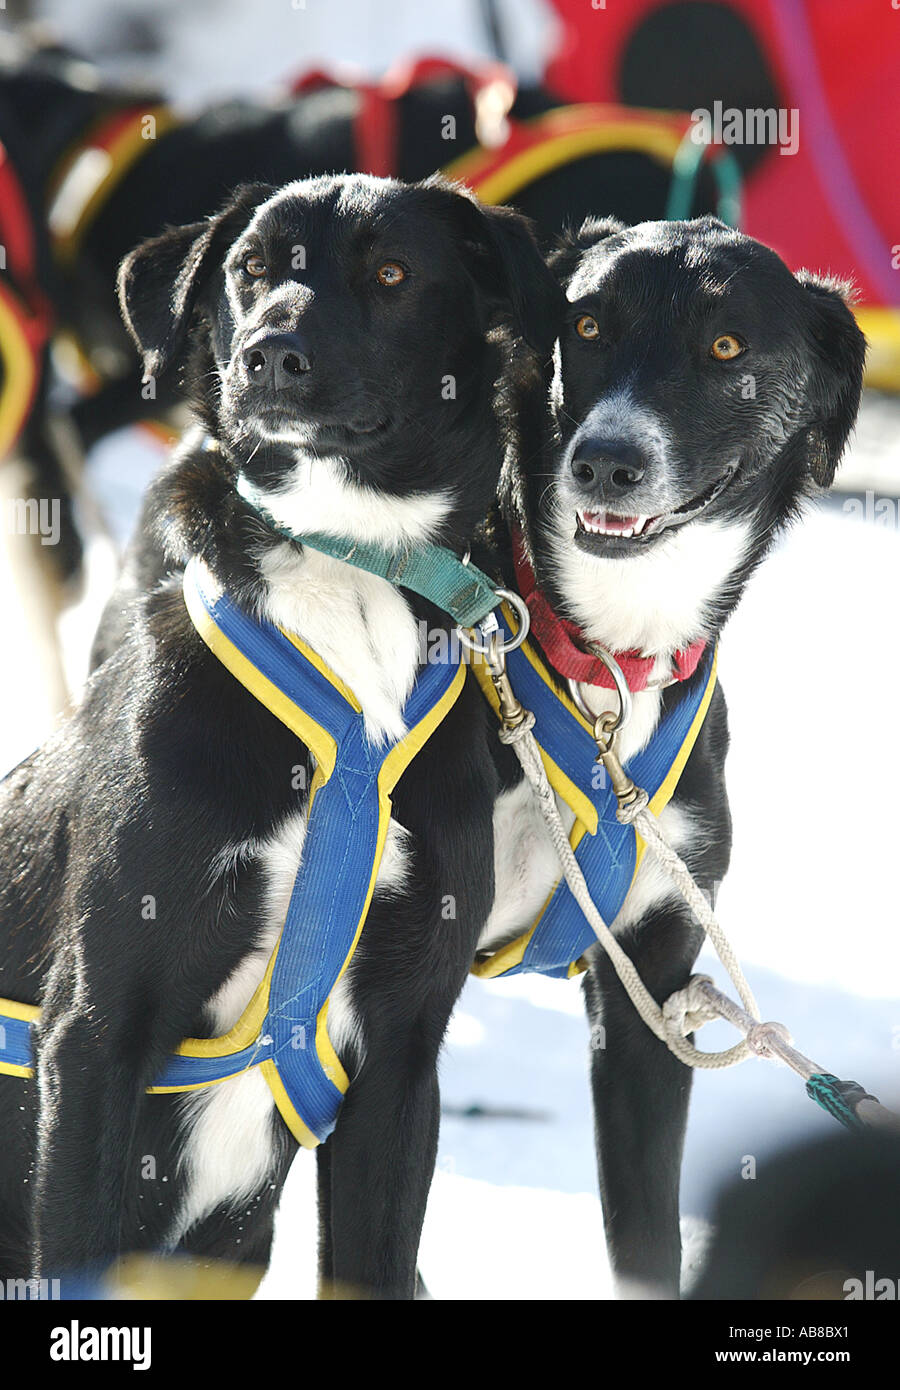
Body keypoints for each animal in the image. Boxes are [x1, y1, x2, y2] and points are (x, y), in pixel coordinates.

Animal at [0, 176, 561, 1301]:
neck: (344, 562)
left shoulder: (400, 1060)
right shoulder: (92, 1035)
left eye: (391, 272)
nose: (268, 352)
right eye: (250, 268)